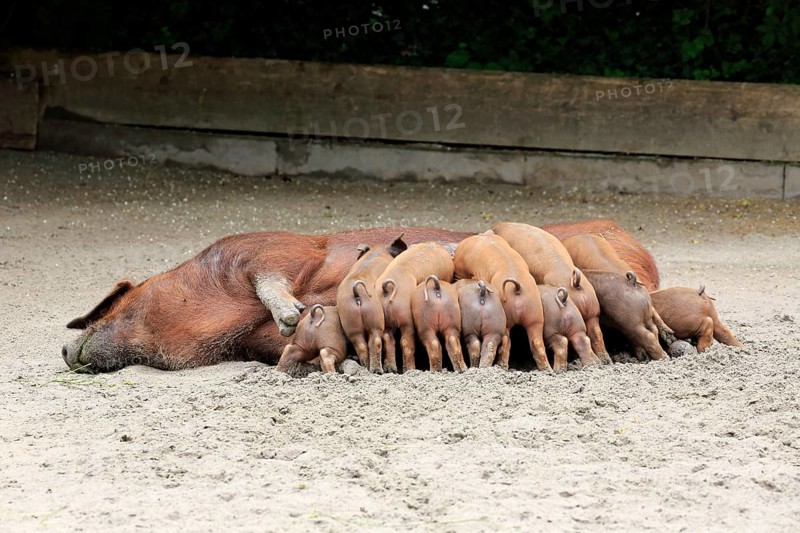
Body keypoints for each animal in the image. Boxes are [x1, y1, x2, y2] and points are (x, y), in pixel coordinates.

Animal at [336, 236, 407, 373]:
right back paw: (379, 370)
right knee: (378, 341)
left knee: (361, 345)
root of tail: (357, 289)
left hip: (350, 320)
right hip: (375, 314)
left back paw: (366, 368)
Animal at [375, 242, 455, 372]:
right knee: (406, 343)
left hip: (383, 318)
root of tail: (387, 289)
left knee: (387, 337)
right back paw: (410, 369)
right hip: (406, 318)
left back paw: (391, 369)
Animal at [453, 233, 550, 371]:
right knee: (536, 342)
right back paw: (547, 369)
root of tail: (517, 287)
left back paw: (501, 366)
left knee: (505, 341)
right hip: (535, 313)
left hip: (508, 316)